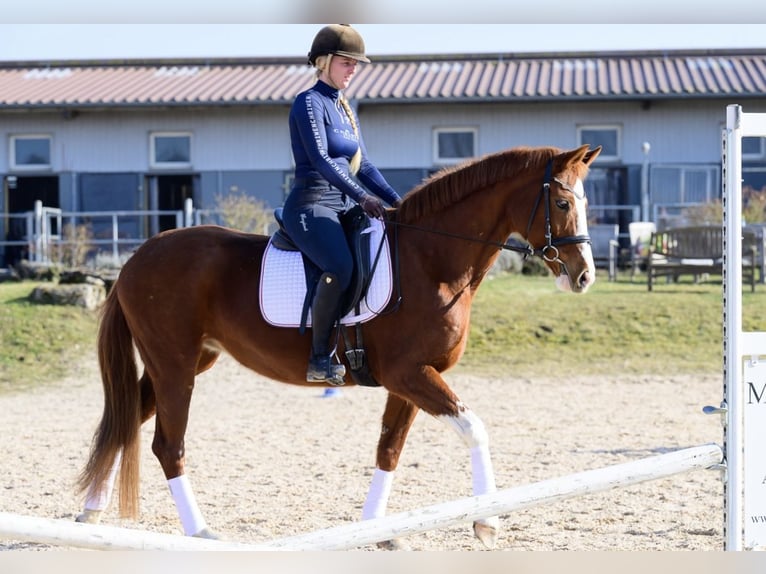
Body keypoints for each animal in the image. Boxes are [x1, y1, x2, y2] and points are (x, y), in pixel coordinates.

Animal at [78, 143, 608, 548]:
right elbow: (474, 430)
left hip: (187, 363)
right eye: (563, 204)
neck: (431, 260)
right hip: (175, 367)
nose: (584, 276)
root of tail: (137, 258)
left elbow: (389, 449)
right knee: (168, 445)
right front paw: (487, 521)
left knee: (126, 419)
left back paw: (90, 513)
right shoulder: (410, 375)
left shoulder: (411, 380)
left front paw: (376, 529)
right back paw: (200, 533)